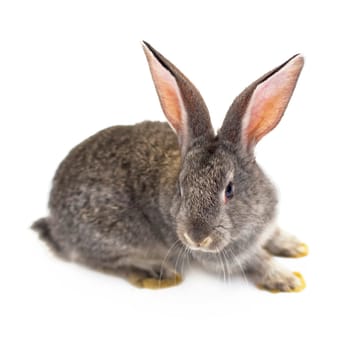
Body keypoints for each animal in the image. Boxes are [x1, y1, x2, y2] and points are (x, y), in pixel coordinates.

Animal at [31, 41, 306, 292]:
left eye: (229, 190)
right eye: (181, 189)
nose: (196, 238)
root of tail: (55, 224)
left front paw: (294, 246)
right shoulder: (224, 256)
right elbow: (257, 260)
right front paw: (286, 279)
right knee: (100, 260)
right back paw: (155, 271)